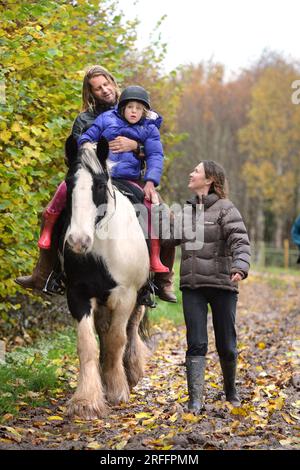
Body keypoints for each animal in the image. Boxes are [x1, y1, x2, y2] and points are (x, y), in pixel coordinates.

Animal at [60, 136, 150, 418]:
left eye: (99, 185)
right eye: (68, 183)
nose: (78, 241)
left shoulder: (125, 296)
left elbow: (116, 340)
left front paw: (117, 389)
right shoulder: (78, 293)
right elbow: (88, 344)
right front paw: (86, 400)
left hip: (139, 297)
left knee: (130, 329)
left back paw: (131, 371)